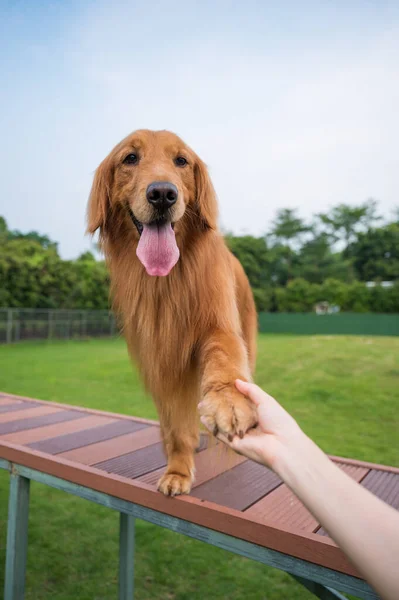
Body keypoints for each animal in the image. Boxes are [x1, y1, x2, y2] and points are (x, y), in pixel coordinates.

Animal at [86, 131, 258, 496]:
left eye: (181, 161)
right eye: (130, 158)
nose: (163, 194)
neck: (167, 281)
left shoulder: (217, 326)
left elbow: (224, 358)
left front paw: (229, 400)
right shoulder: (159, 358)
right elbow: (174, 422)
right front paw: (178, 469)